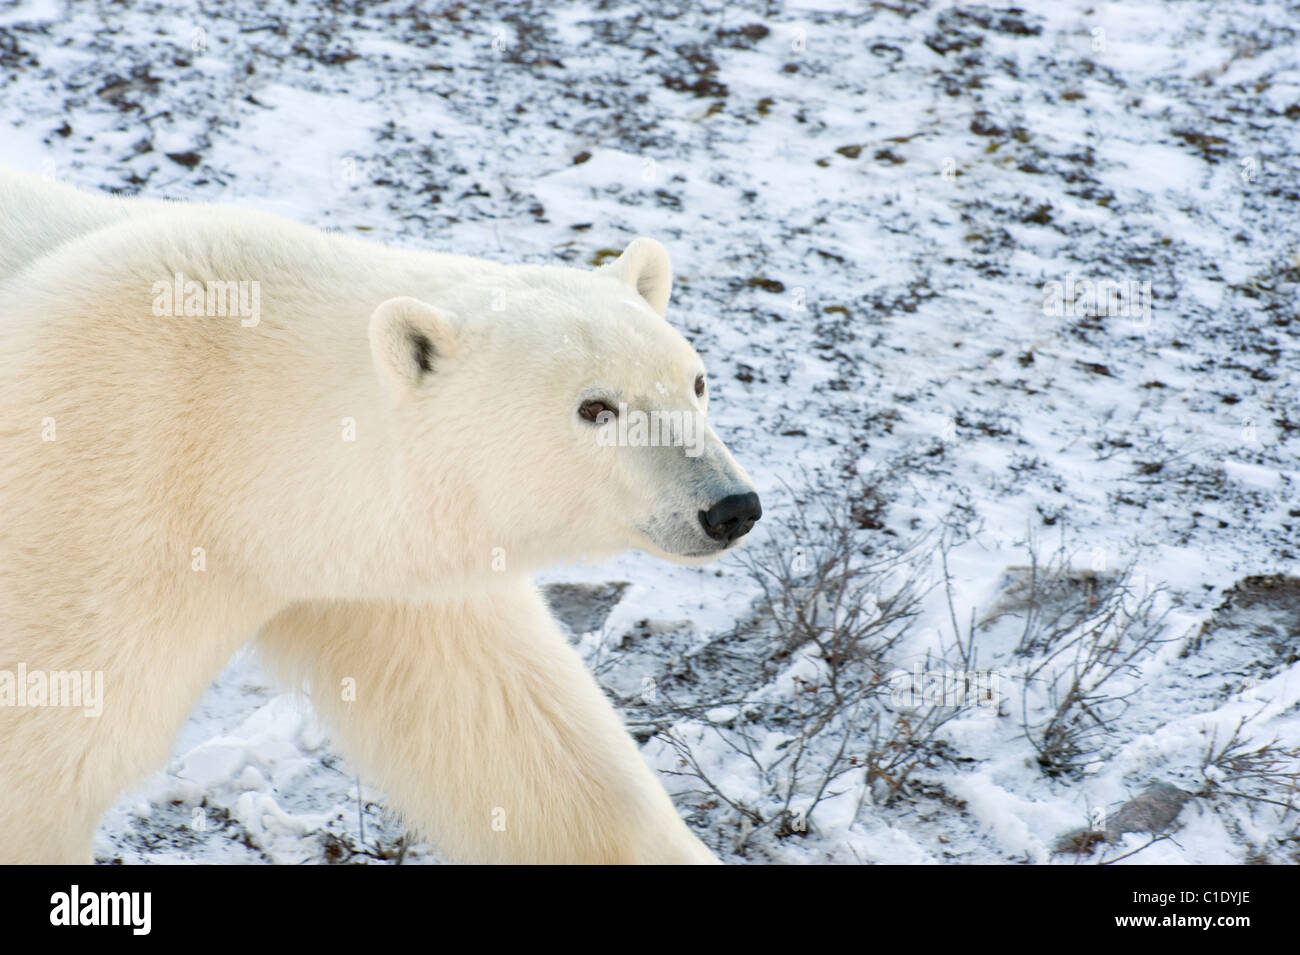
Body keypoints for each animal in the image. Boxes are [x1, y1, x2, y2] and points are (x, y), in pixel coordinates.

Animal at [0, 167, 759, 867]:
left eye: (695, 381)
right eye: (596, 407)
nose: (730, 507)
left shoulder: (389, 567)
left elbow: (523, 737)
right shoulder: (94, 509)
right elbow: (39, 757)